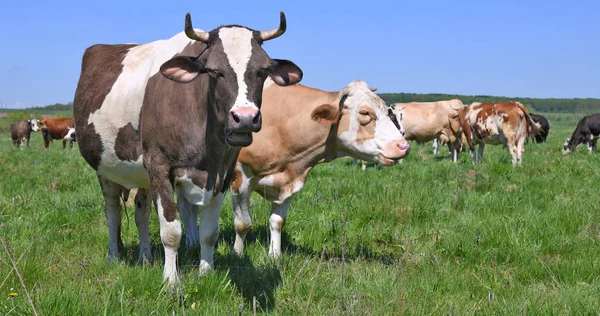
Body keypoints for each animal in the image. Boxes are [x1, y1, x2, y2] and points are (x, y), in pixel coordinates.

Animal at [72, 11, 302, 286]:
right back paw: (114, 257)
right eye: (213, 71)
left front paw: (206, 272)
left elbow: (209, 232)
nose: (245, 118)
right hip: (105, 168)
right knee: (113, 210)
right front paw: (171, 281)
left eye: (263, 70)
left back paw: (145, 258)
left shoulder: (223, 174)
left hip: (142, 173)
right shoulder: (159, 166)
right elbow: (171, 231)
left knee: (141, 211)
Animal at [178, 78, 410, 256]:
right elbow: (243, 223)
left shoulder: (291, 180)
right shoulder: (240, 177)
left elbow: (277, 221)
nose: (404, 145)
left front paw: (274, 256)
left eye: (388, 112)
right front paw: (237, 254)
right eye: (365, 114)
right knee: (186, 208)